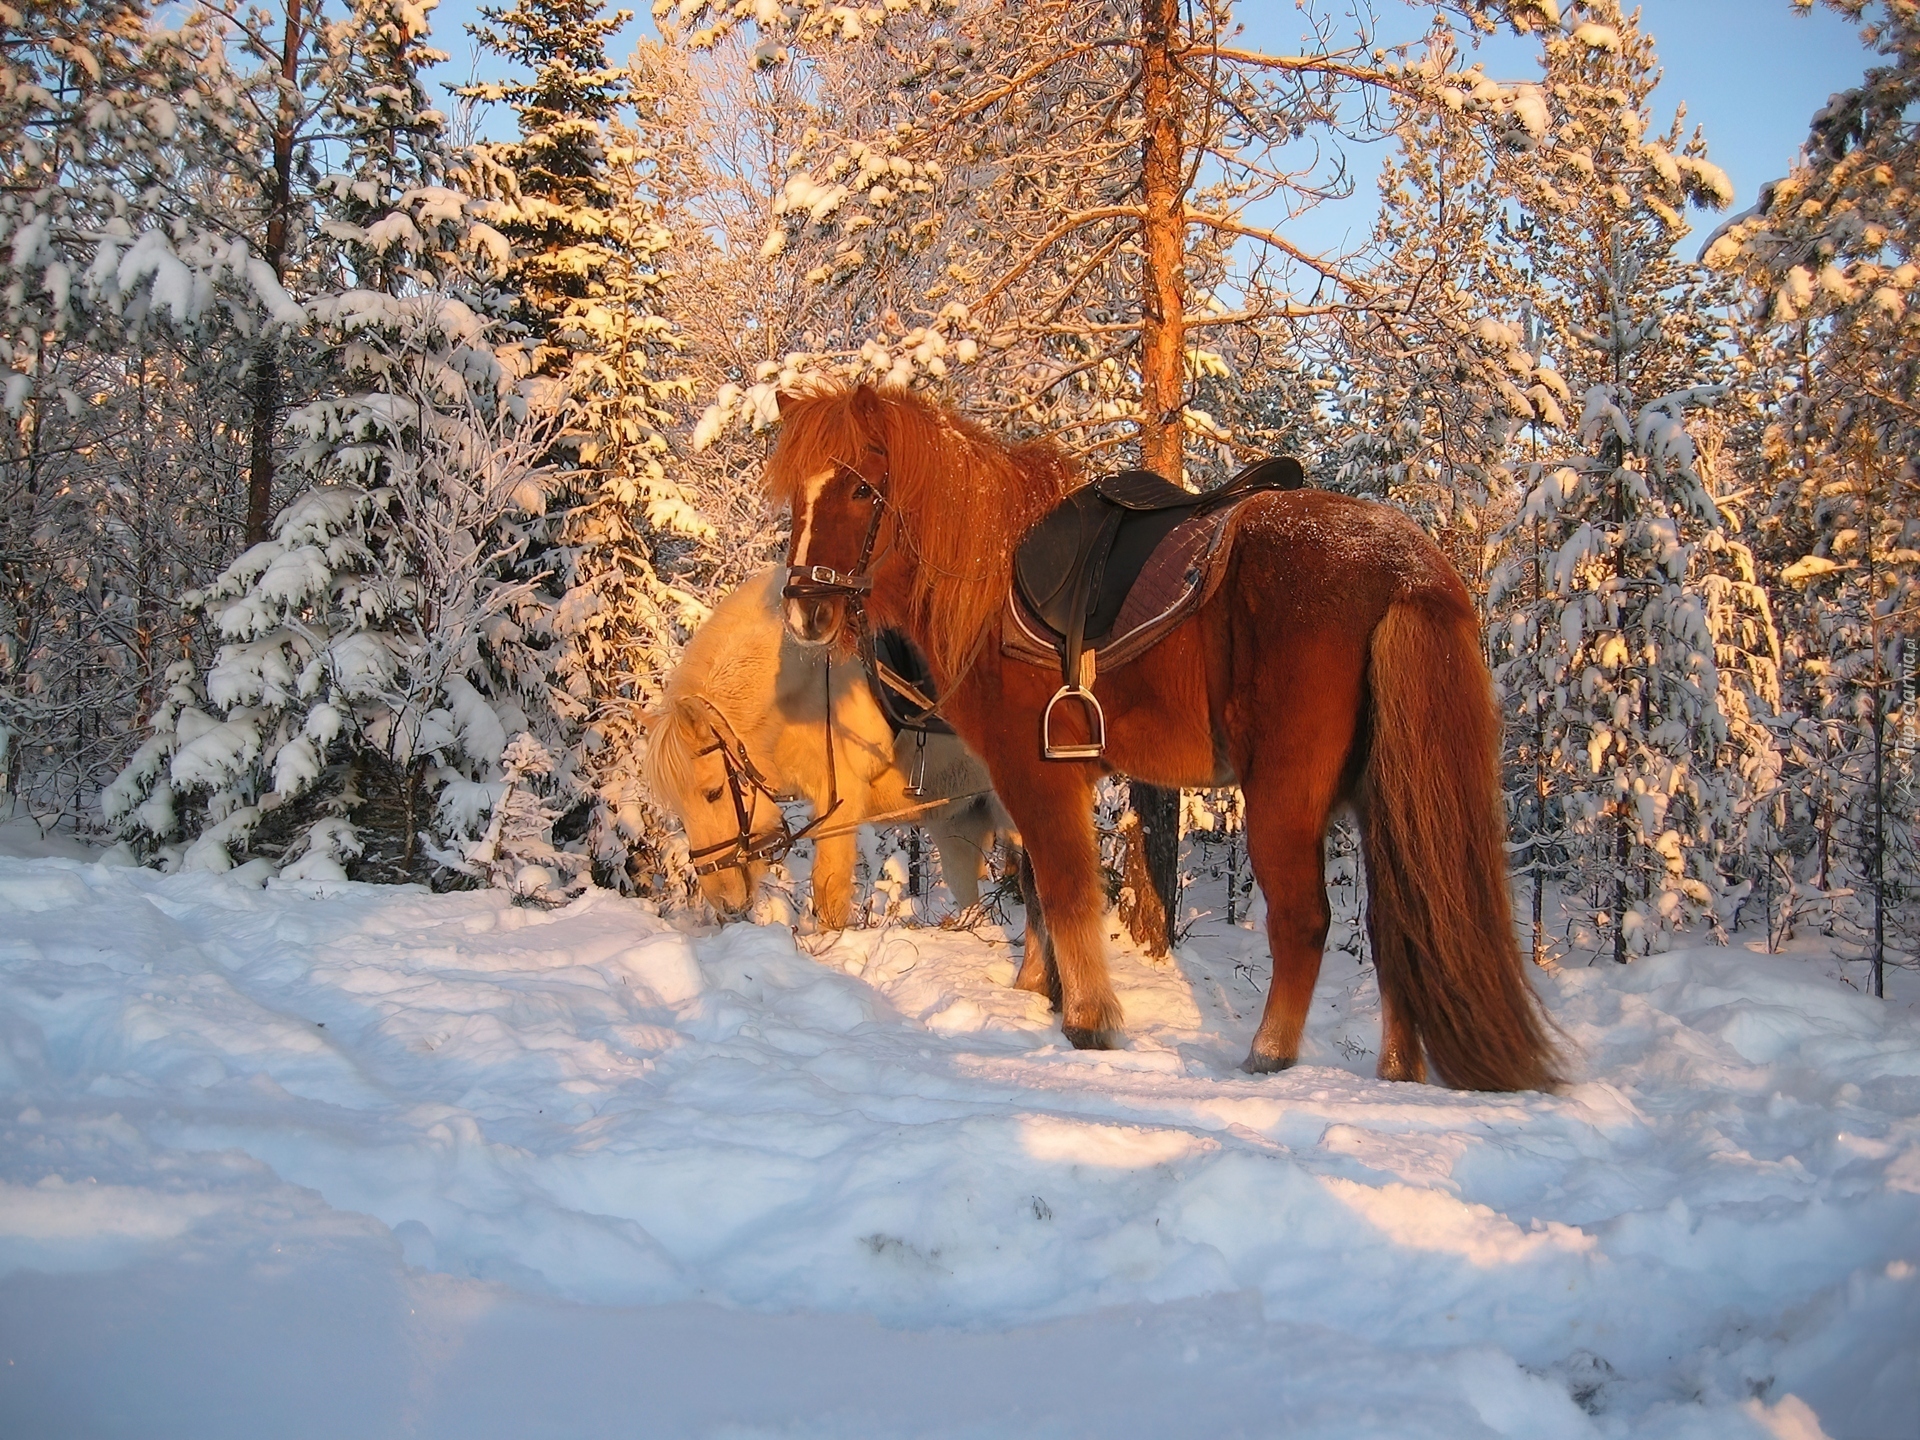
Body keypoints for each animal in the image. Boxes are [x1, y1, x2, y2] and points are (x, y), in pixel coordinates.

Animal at [641, 564, 1006, 925]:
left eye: (713, 792)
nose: (724, 901)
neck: (808, 680)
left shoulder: (841, 803)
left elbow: (829, 893)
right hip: (958, 825)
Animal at [764, 384, 1559, 1090]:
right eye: (795, 495)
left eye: (861, 490)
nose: (805, 611)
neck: (989, 578)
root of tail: (1404, 570)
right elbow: (1037, 886)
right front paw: (1039, 991)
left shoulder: (1034, 773)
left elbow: (1065, 890)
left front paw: (1089, 1020)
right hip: (1382, 797)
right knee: (1399, 921)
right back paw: (1397, 1071)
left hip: (1284, 799)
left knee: (1304, 921)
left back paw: (1268, 1054)